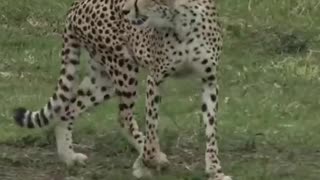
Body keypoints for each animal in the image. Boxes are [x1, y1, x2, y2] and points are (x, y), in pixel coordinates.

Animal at [13, 0, 230, 179]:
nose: (125, 10)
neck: (182, 19)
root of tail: (76, 4)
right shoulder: (155, 79)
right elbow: (152, 127)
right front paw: (149, 160)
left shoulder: (209, 81)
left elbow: (211, 130)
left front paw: (215, 171)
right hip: (124, 69)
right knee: (123, 117)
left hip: (104, 81)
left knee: (68, 110)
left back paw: (69, 157)